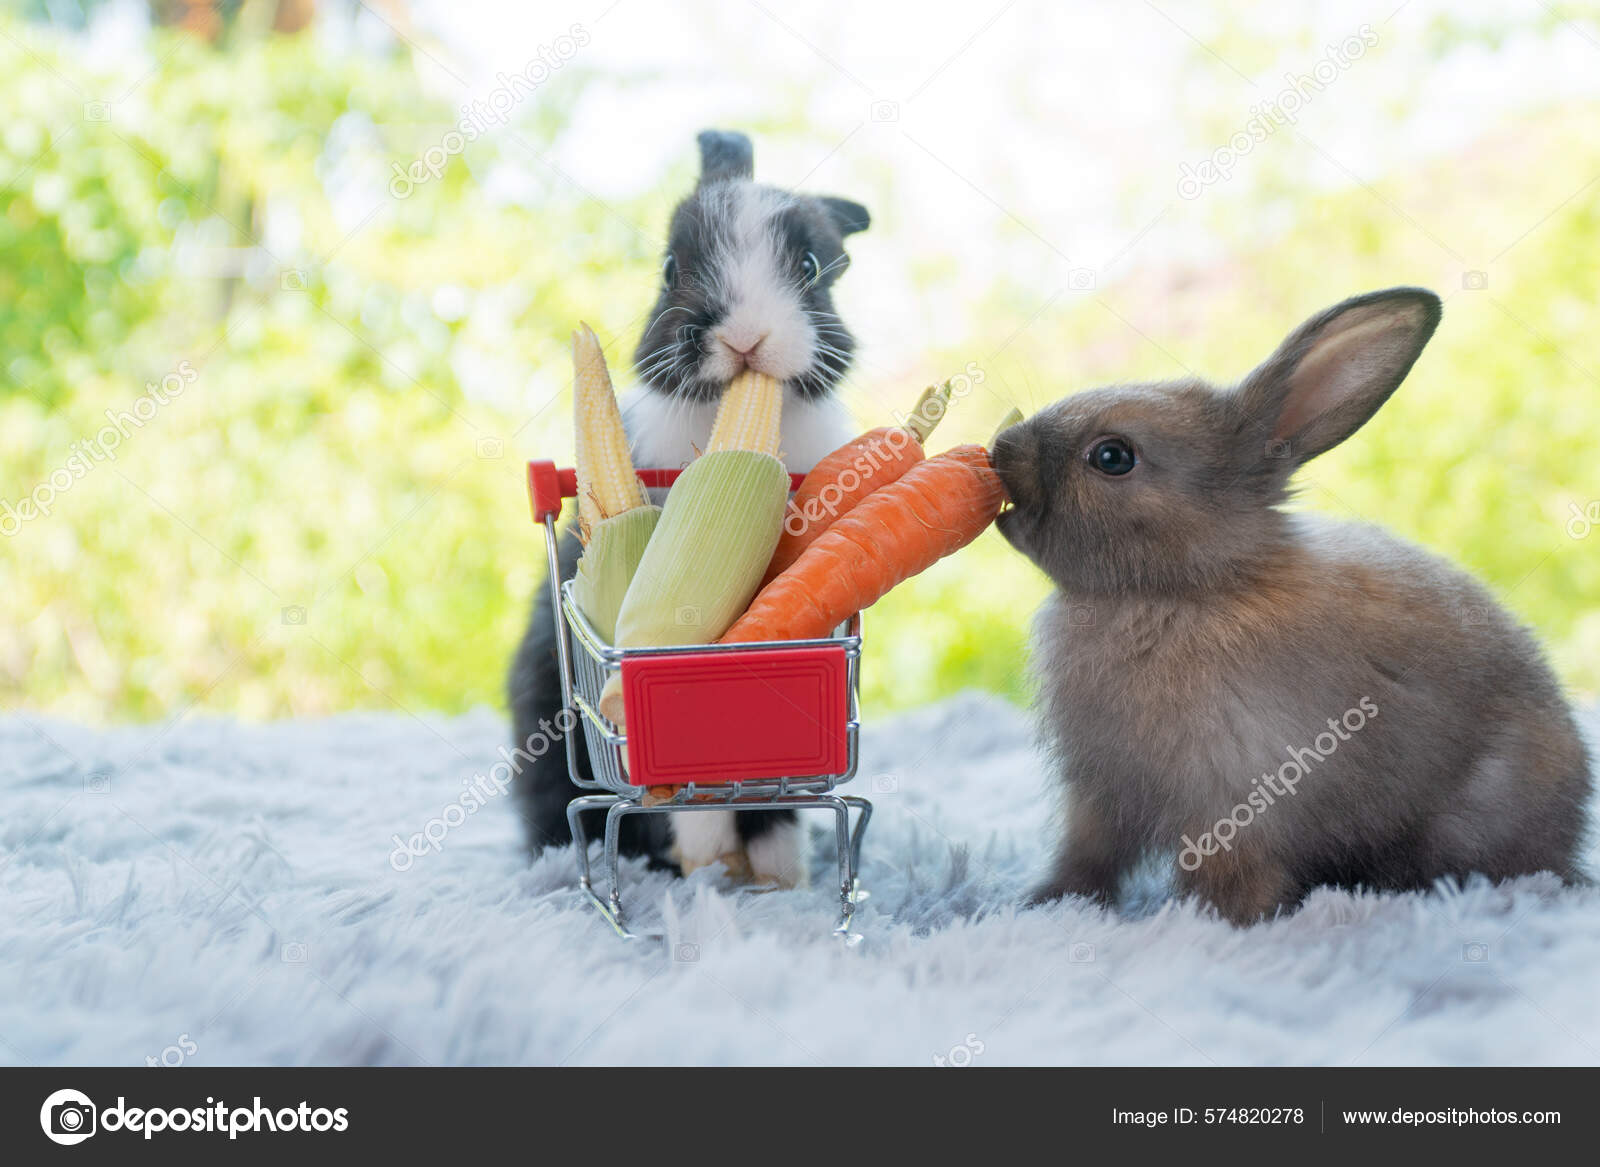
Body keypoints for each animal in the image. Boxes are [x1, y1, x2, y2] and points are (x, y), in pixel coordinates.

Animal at [507, 129, 872, 886]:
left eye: (811, 267)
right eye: (673, 269)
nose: (746, 339)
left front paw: (780, 867)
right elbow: (686, 770)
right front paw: (709, 857)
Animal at [991, 286, 1592, 926]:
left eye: (1111, 457)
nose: (1001, 448)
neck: (1186, 588)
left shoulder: (1234, 805)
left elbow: (1232, 878)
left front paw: (1221, 925)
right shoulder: (1097, 803)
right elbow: (1087, 859)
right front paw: (1045, 903)